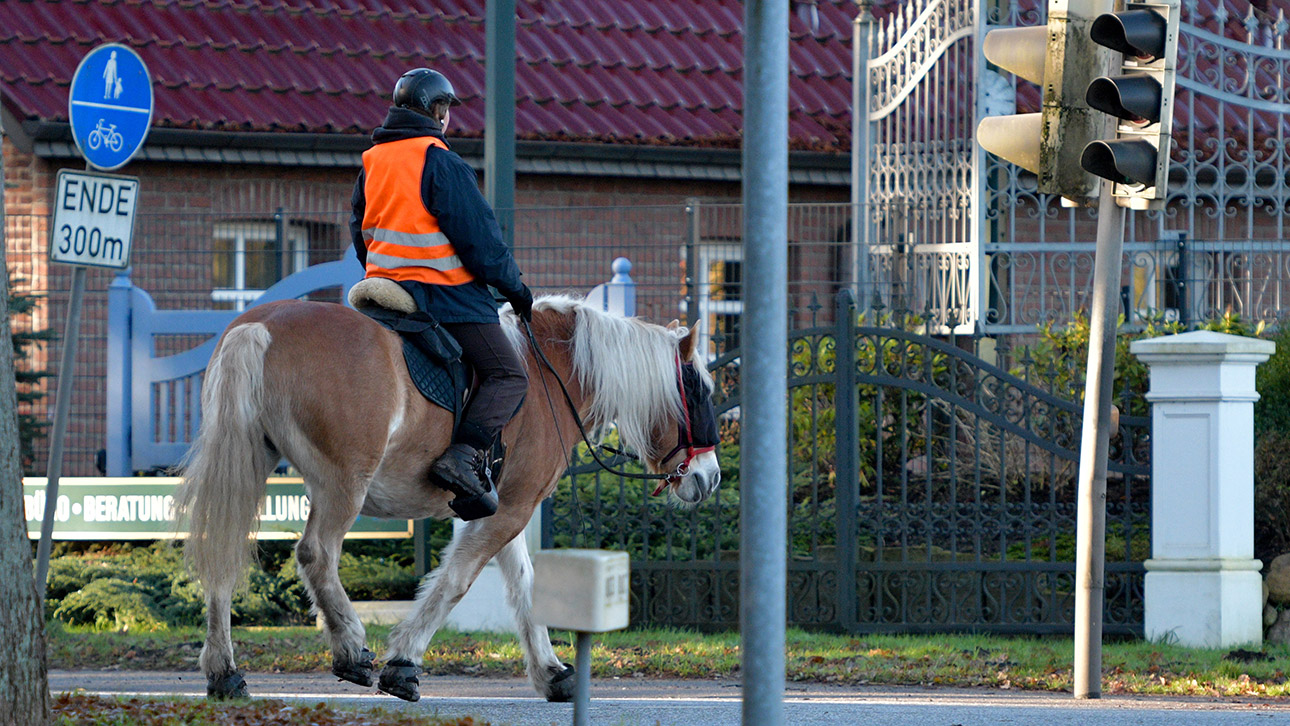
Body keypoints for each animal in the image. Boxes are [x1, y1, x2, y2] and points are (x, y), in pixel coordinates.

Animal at [173, 293, 721, 702]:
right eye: (699, 391)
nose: (712, 478)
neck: (551, 375)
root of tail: (260, 326)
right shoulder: (511, 508)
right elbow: (457, 581)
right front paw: (402, 662)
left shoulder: (507, 506)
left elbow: (525, 586)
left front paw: (552, 672)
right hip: (342, 483)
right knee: (316, 554)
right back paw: (350, 647)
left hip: (248, 465)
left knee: (222, 556)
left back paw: (224, 672)